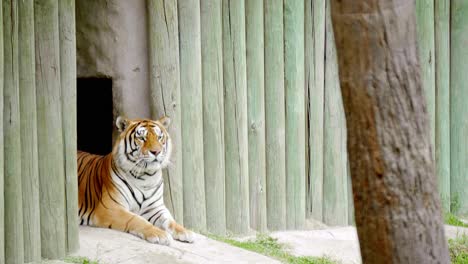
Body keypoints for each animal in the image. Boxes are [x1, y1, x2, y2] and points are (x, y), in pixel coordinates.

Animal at [77, 116, 194, 245]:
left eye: (159, 137)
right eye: (142, 138)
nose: (156, 152)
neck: (146, 177)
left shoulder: (156, 208)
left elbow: (169, 220)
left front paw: (185, 231)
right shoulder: (111, 208)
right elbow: (137, 219)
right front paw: (160, 234)